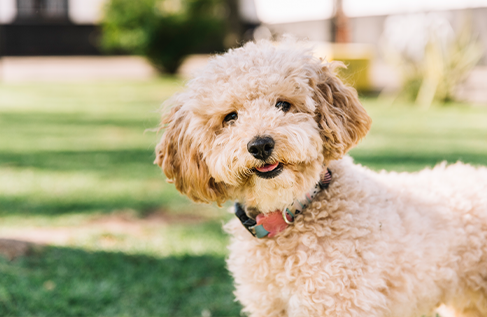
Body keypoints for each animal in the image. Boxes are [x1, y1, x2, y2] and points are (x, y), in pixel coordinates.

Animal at [155, 39, 487, 316]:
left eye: (283, 104)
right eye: (230, 117)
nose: (260, 145)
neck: (291, 214)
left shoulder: (337, 302)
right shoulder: (270, 306)